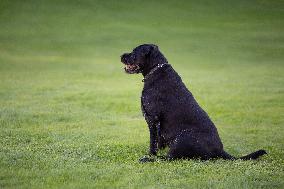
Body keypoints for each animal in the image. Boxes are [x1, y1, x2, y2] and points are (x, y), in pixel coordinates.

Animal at [120, 43, 266, 162]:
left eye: (134, 52)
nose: (121, 56)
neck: (156, 70)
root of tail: (220, 151)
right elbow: (159, 142)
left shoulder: (153, 119)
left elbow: (153, 142)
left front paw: (150, 155)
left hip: (182, 138)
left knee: (171, 158)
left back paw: (148, 159)